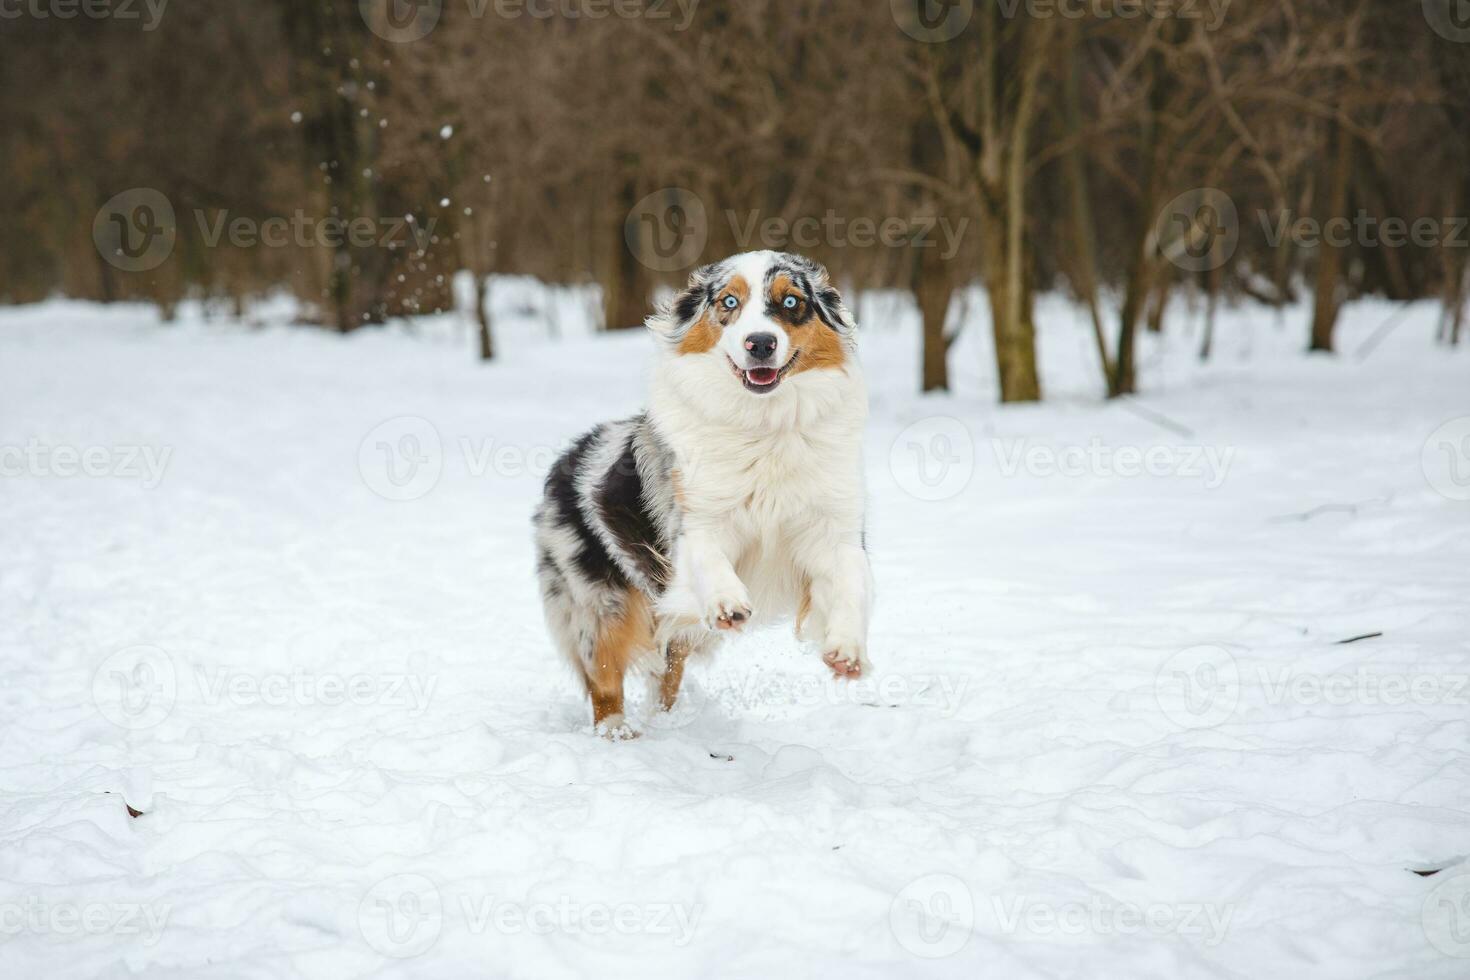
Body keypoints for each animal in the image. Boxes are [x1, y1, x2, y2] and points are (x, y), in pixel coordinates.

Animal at [532, 252, 864, 734]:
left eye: (791, 301)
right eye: (729, 301)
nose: (760, 343)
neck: (764, 425)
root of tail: (567, 459)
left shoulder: (832, 528)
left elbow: (850, 584)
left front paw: (847, 651)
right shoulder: (693, 520)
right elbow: (709, 557)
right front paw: (729, 602)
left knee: (668, 673)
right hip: (599, 601)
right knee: (604, 676)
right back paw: (617, 731)